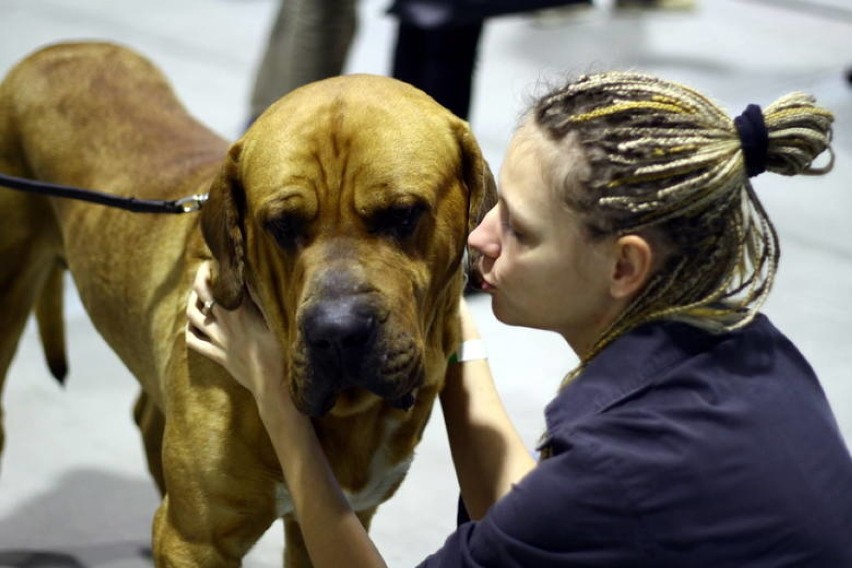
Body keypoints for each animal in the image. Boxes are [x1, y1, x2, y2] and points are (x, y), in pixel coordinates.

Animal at [0, 42, 496, 564]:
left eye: (402, 214)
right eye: (281, 225)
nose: (337, 331)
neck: (345, 419)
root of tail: (58, 48)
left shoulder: (339, 520)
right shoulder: (196, 541)